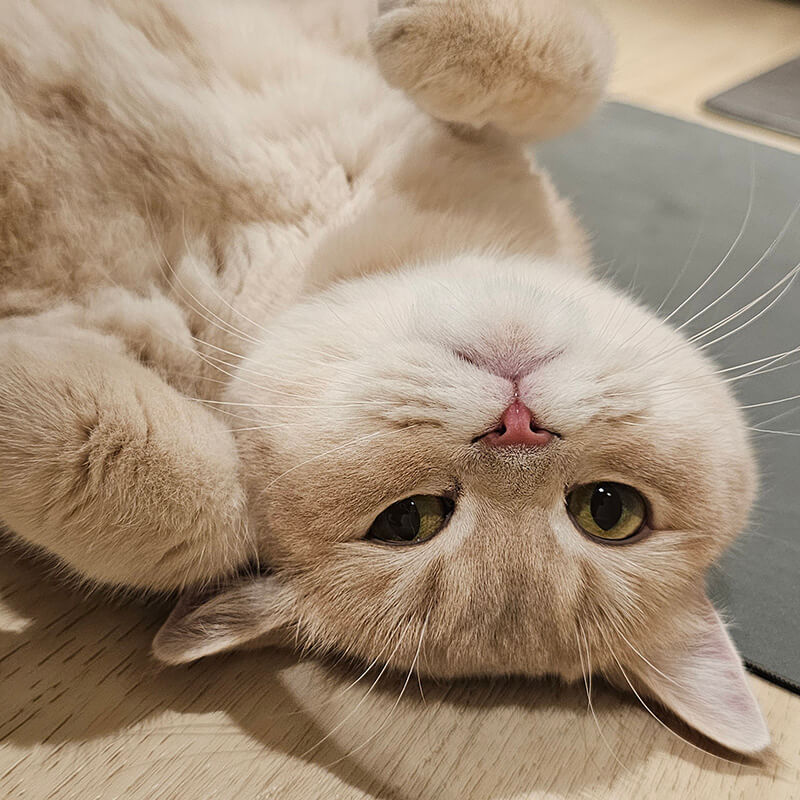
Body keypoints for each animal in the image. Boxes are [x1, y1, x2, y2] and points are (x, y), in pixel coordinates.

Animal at [0, 0, 769, 754]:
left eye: (407, 521)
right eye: (609, 512)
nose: (518, 429)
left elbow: (184, 505)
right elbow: (574, 68)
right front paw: (411, 29)